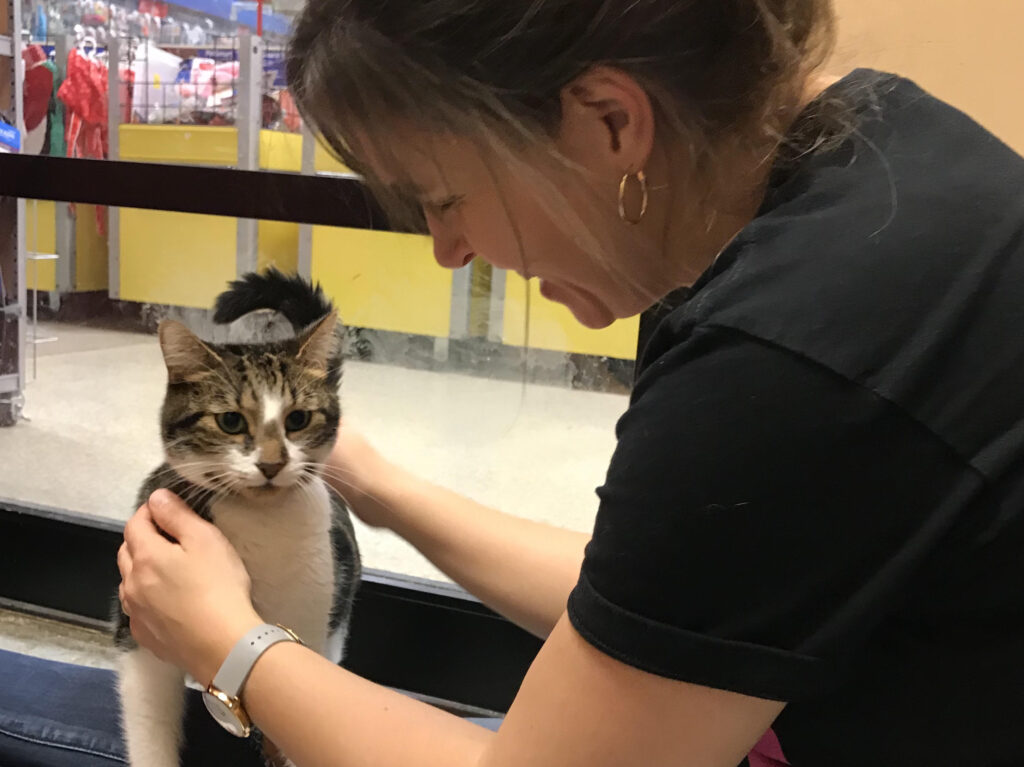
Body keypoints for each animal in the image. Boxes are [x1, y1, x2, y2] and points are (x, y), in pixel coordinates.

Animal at [114, 268, 362, 765]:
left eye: (298, 419)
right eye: (230, 421)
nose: (271, 463)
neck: (260, 528)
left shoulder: (307, 634)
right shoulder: (141, 644)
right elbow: (151, 725)